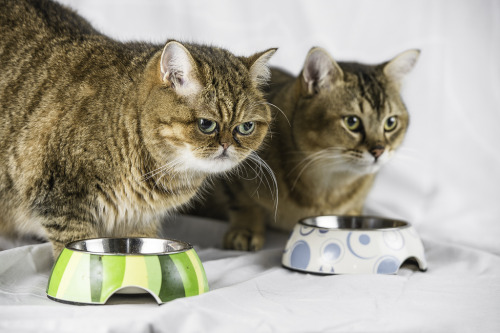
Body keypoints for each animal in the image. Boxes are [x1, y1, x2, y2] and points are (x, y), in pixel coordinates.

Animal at [193, 46, 420, 249]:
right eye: (352, 122)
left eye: (391, 123)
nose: (379, 150)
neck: (327, 186)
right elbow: (244, 204)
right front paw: (246, 230)